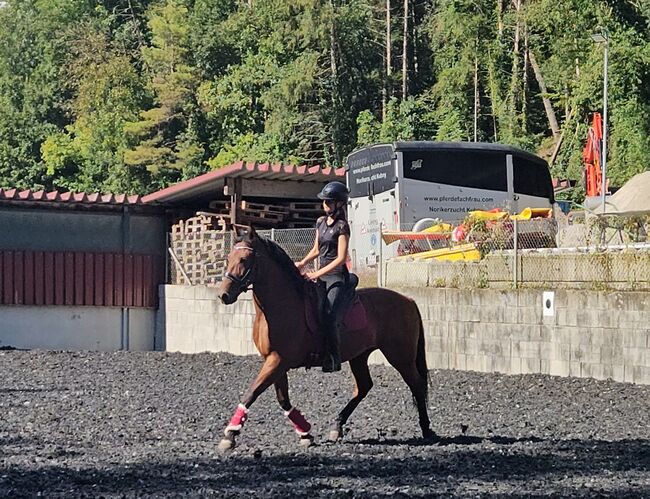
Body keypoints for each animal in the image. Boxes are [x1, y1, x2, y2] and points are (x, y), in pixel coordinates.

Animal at [218, 227, 436, 450]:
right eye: (229, 257)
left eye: (244, 259)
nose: (223, 295)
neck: (280, 305)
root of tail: (408, 300)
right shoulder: (274, 360)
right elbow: (283, 399)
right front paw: (305, 432)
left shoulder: (278, 360)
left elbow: (251, 393)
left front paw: (230, 435)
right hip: (360, 356)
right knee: (363, 387)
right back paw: (337, 427)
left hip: (400, 356)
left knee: (417, 385)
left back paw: (427, 429)